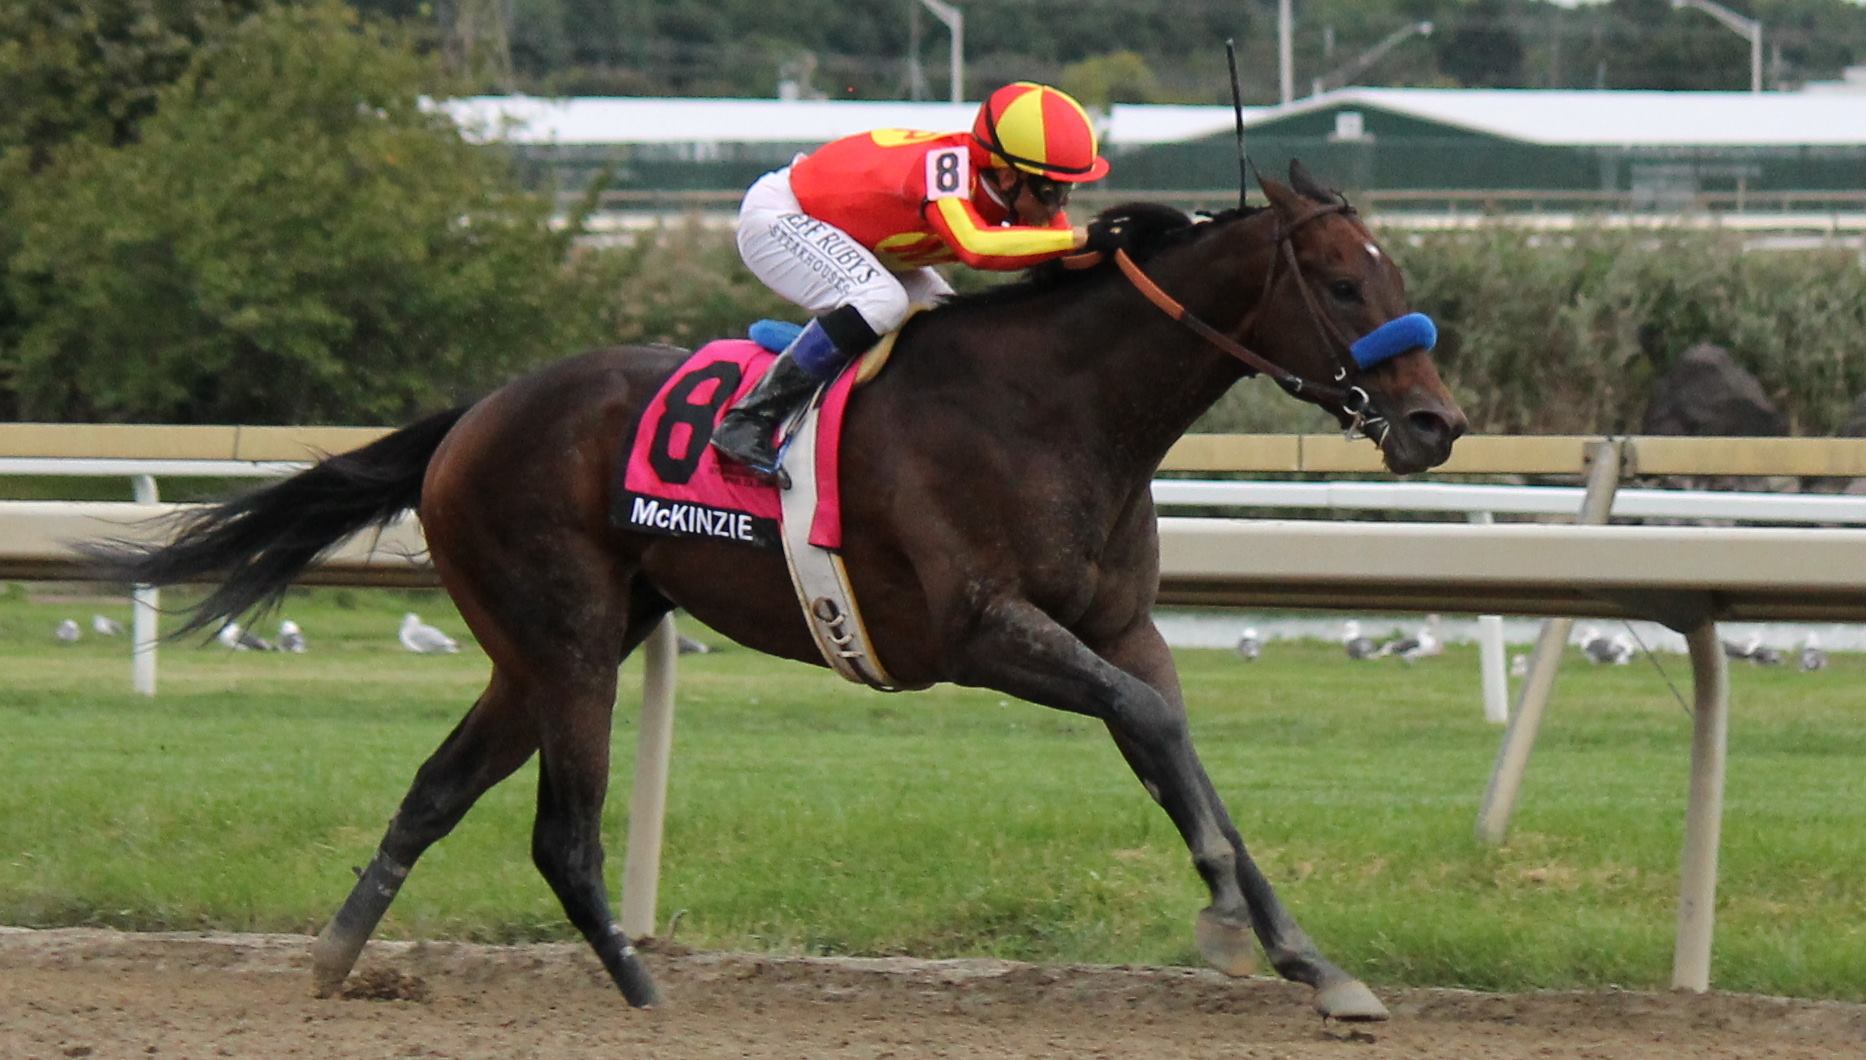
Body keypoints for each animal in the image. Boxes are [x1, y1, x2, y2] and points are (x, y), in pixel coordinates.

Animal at [90, 163, 1466, 1021]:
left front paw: (1309, 959)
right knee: (561, 832)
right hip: (569, 636)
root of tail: (472, 416)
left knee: (434, 791)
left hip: (552, 642)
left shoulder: (1120, 627)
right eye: (1345, 282)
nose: (1436, 425)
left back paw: (335, 960)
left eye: (1398, 274)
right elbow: (1156, 727)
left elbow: (1178, 748)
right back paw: (646, 995)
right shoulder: (979, 631)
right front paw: (1232, 924)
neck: (1058, 410)